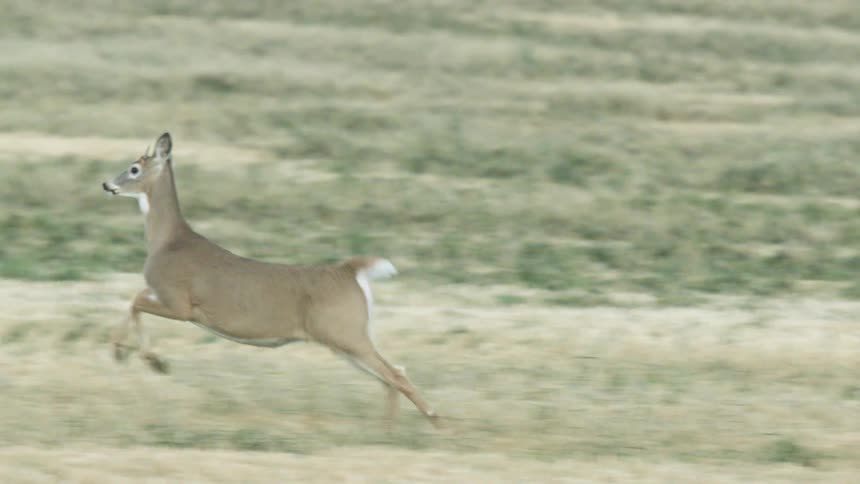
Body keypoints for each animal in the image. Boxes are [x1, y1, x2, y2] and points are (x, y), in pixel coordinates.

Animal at [101, 132, 441, 427]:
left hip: (345, 333)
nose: (106, 184)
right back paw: (388, 429)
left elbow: (135, 301)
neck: (168, 242)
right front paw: (125, 352)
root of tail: (350, 271)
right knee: (391, 373)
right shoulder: (163, 294)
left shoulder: (180, 303)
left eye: (134, 168)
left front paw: (148, 359)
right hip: (346, 337)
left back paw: (435, 421)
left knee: (394, 374)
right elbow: (132, 301)